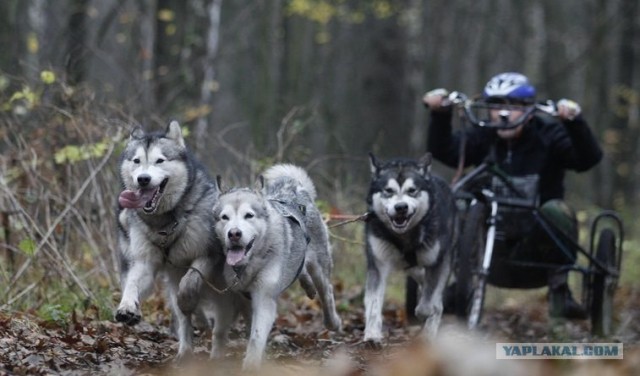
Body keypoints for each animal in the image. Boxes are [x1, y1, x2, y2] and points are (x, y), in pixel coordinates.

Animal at [116, 120, 221, 358]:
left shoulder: (207, 255)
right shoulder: (144, 262)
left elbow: (191, 280)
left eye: (160, 160)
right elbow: (132, 283)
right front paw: (127, 307)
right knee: (182, 319)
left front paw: (188, 298)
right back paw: (184, 352)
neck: (164, 222)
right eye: (137, 161)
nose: (143, 179)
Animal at [362, 153, 458, 344]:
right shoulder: (378, 264)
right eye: (388, 190)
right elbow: (374, 303)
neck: (404, 237)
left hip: (443, 261)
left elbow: (428, 303)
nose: (401, 207)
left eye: (412, 190)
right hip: (413, 268)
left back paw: (429, 331)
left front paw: (423, 312)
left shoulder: (436, 263)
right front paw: (372, 334)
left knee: (437, 301)